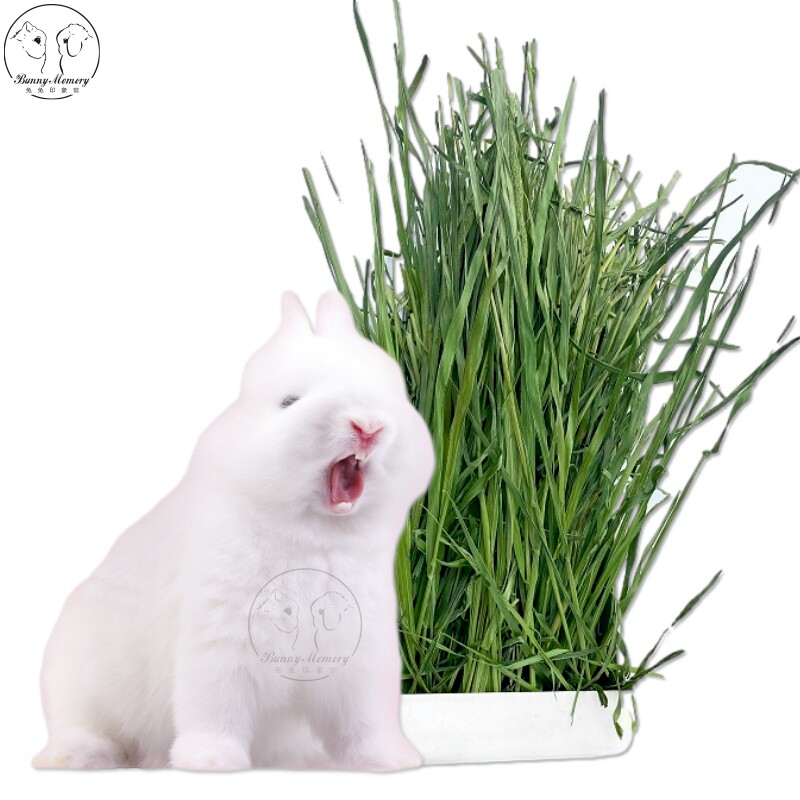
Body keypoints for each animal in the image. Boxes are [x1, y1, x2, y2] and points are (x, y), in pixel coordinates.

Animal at [32, 290, 434, 771]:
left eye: (392, 391)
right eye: (289, 402)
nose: (368, 425)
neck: (313, 531)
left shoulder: (359, 658)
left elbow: (364, 723)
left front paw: (390, 759)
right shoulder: (220, 643)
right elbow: (214, 709)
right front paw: (211, 760)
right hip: (78, 685)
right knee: (81, 727)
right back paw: (75, 756)